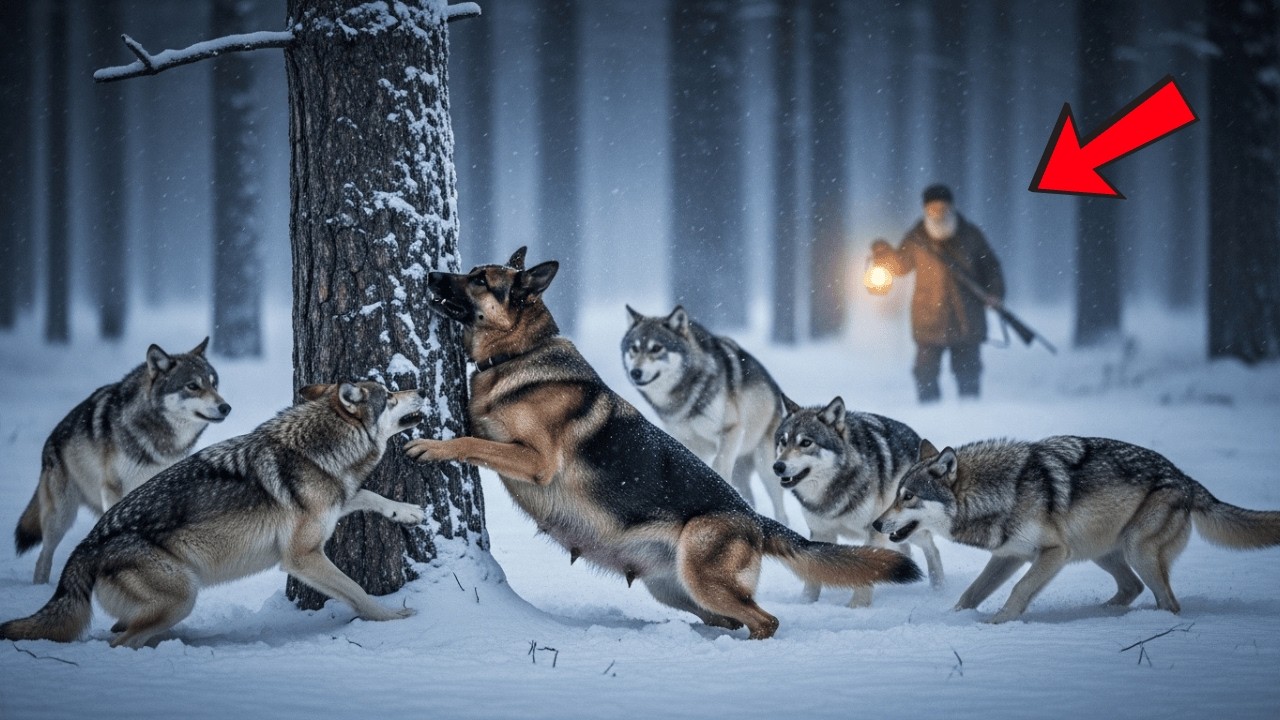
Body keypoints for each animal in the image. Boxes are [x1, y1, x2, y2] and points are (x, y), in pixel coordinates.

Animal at [0, 382, 426, 647]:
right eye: (390, 395)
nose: (420, 390)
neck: (318, 450)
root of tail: (87, 544)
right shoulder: (302, 557)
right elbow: (357, 591)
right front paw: (392, 617)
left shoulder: (338, 502)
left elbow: (369, 494)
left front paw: (408, 513)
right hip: (181, 596)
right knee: (119, 641)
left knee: (122, 630)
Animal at [15, 338, 231, 584]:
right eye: (193, 386)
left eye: (214, 384)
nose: (226, 407)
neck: (162, 441)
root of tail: (51, 439)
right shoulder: (114, 489)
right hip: (60, 517)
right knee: (44, 557)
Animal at [622, 305, 790, 525]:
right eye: (634, 348)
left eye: (656, 348)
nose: (635, 372)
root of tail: (775, 390)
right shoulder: (688, 442)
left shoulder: (731, 430)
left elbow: (718, 465)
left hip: (765, 466)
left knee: (781, 511)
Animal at [773, 396, 944, 607]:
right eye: (783, 441)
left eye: (806, 442)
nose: (778, 466)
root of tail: (917, 438)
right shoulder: (821, 532)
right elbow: (813, 571)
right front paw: (806, 603)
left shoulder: (873, 531)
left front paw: (858, 606)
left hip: (905, 529)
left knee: (932, 548)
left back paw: (939, 588)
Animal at [873, 436, 1280, 623]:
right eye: (895, 495)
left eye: (908, 497)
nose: (876, 523)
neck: (1002, 491)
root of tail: (1188, 480)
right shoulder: (1008, 556)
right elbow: (971, 593)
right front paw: (951, 618)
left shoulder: (1054, 554)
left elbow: (1020, 590)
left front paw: (999, 623)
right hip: (1102, 552)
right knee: (1131, 588)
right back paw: (1101, 613)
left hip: (1133, 550)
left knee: (1168, 602)